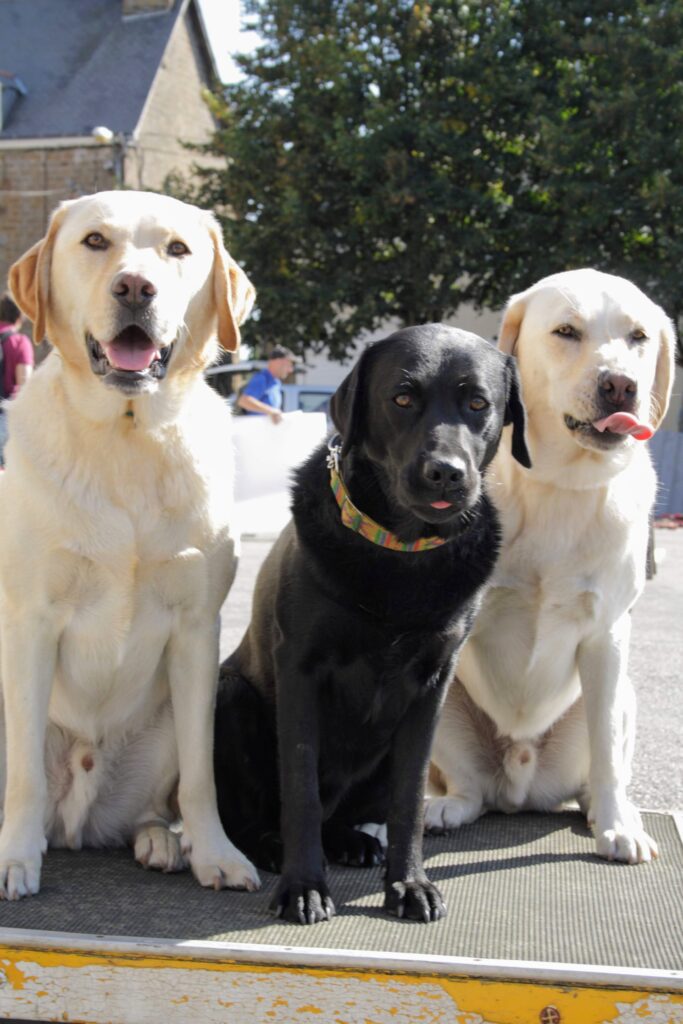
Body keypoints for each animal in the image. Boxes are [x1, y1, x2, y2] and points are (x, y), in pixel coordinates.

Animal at [0, 190, 262, 897]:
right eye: (95, 241)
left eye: (177, 249)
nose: (136, 287)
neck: (128, 437)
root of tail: (76, 825)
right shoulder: (31, 622)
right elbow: (24, 773)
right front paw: (15, 859)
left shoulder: (198, 629)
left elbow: (202, 775)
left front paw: (215, 853)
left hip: (163, 722)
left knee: (147, 808)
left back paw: (159, 841)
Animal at [210, 323, 532, 925]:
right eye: (402, 398)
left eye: (478, 403)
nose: (445, 472)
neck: (401, 551)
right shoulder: (301, 668)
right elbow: (301, 789)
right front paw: (303, 886)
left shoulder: (432, 686)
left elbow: (410, 798)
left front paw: (409, 884)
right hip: (229, 694)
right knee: (254, 817)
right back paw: (273, 845)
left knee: (347, 813)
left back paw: (353, 840)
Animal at [423, 268, 675, 860]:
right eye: (566, 331)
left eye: (638, 336)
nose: (620, 385)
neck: (559, 485)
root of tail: (519, 784)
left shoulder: (607, 635)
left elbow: (607, 755)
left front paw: (617, 827)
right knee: (466, 786)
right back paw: (448, 805)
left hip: (621, 695)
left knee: (598, 770)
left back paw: (610, 810)